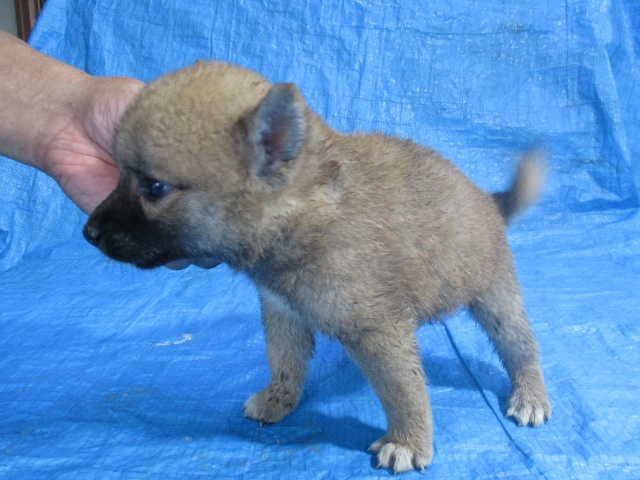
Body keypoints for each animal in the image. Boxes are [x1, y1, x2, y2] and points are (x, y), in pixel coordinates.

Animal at [83, 60, 551, 473]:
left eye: (154, 187)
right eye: (120, 174)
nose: (88, 233)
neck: (305, 213)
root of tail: (488, 199)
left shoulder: (378, 332)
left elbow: (403, 391)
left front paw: (408, 441)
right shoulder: (282, 312)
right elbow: (283, 362)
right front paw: (278, 400)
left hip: (495, 299)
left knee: (521, 347)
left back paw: (530, 394)